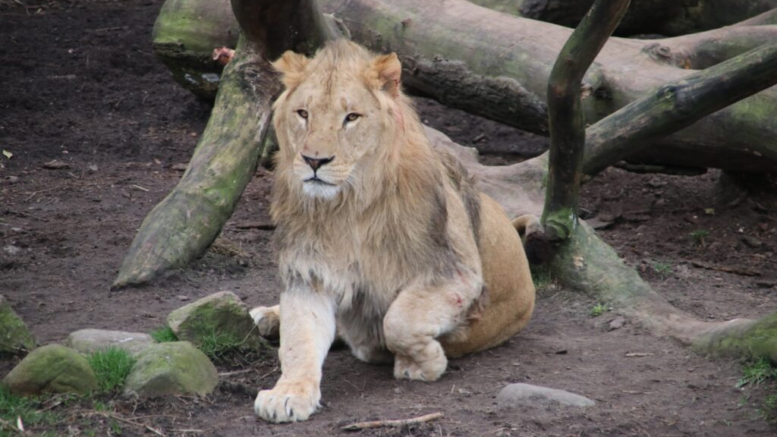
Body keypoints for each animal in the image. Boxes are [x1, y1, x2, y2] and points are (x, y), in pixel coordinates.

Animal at [250, 41, 540, 422]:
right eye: (303, 114)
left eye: (351, 117)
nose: (314, 161)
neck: (348, 206)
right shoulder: (308, 272)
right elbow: (299, 339)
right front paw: (288, 394)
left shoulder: (455, 274)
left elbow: (399, 320)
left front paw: (422, 364)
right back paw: (269, 316)